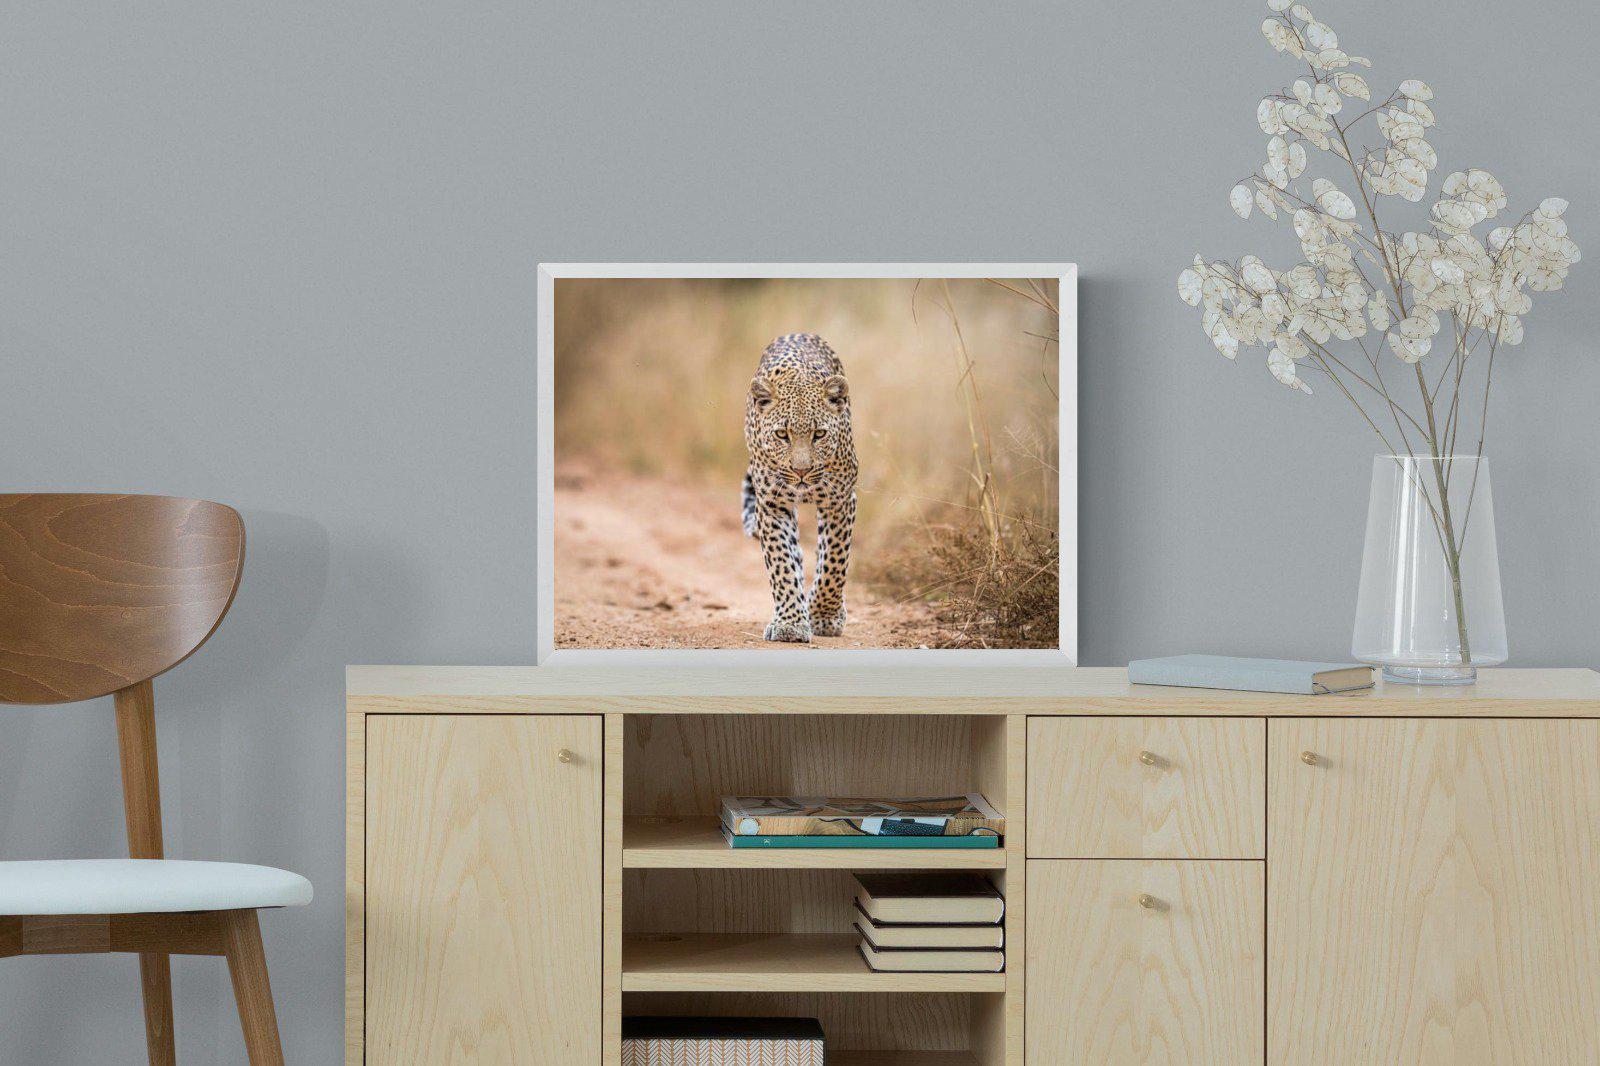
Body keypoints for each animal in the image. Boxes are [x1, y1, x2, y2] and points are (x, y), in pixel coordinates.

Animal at [742, 332, 859, 643]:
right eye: (782, 434)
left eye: (819, 434)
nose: (801, 471)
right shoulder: (772, 504)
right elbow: (781, 563)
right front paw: (791, 623)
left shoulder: (840, 499)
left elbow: (834, 562)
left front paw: (825, 616)